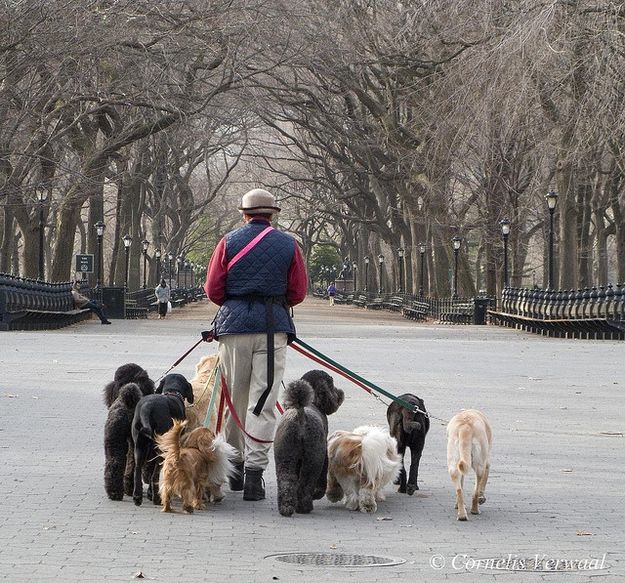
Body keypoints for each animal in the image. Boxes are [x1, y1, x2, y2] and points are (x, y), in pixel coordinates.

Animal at [134, 374, 195, 506]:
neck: (172, 391)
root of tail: (148, 407)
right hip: (161, 449)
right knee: (155, 475)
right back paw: (157, 499)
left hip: (139, 447)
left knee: (138, 470)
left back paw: (137, 497)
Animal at [272, 372, 344, 516]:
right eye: (331, 385)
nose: (340, 394)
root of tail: (301, 415)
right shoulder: (324, 455)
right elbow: (321, 481)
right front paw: (317, 494)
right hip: (313, 457)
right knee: (306, 483)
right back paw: (305, 507)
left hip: (285, 455)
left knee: (286, 481)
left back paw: (286, 507)